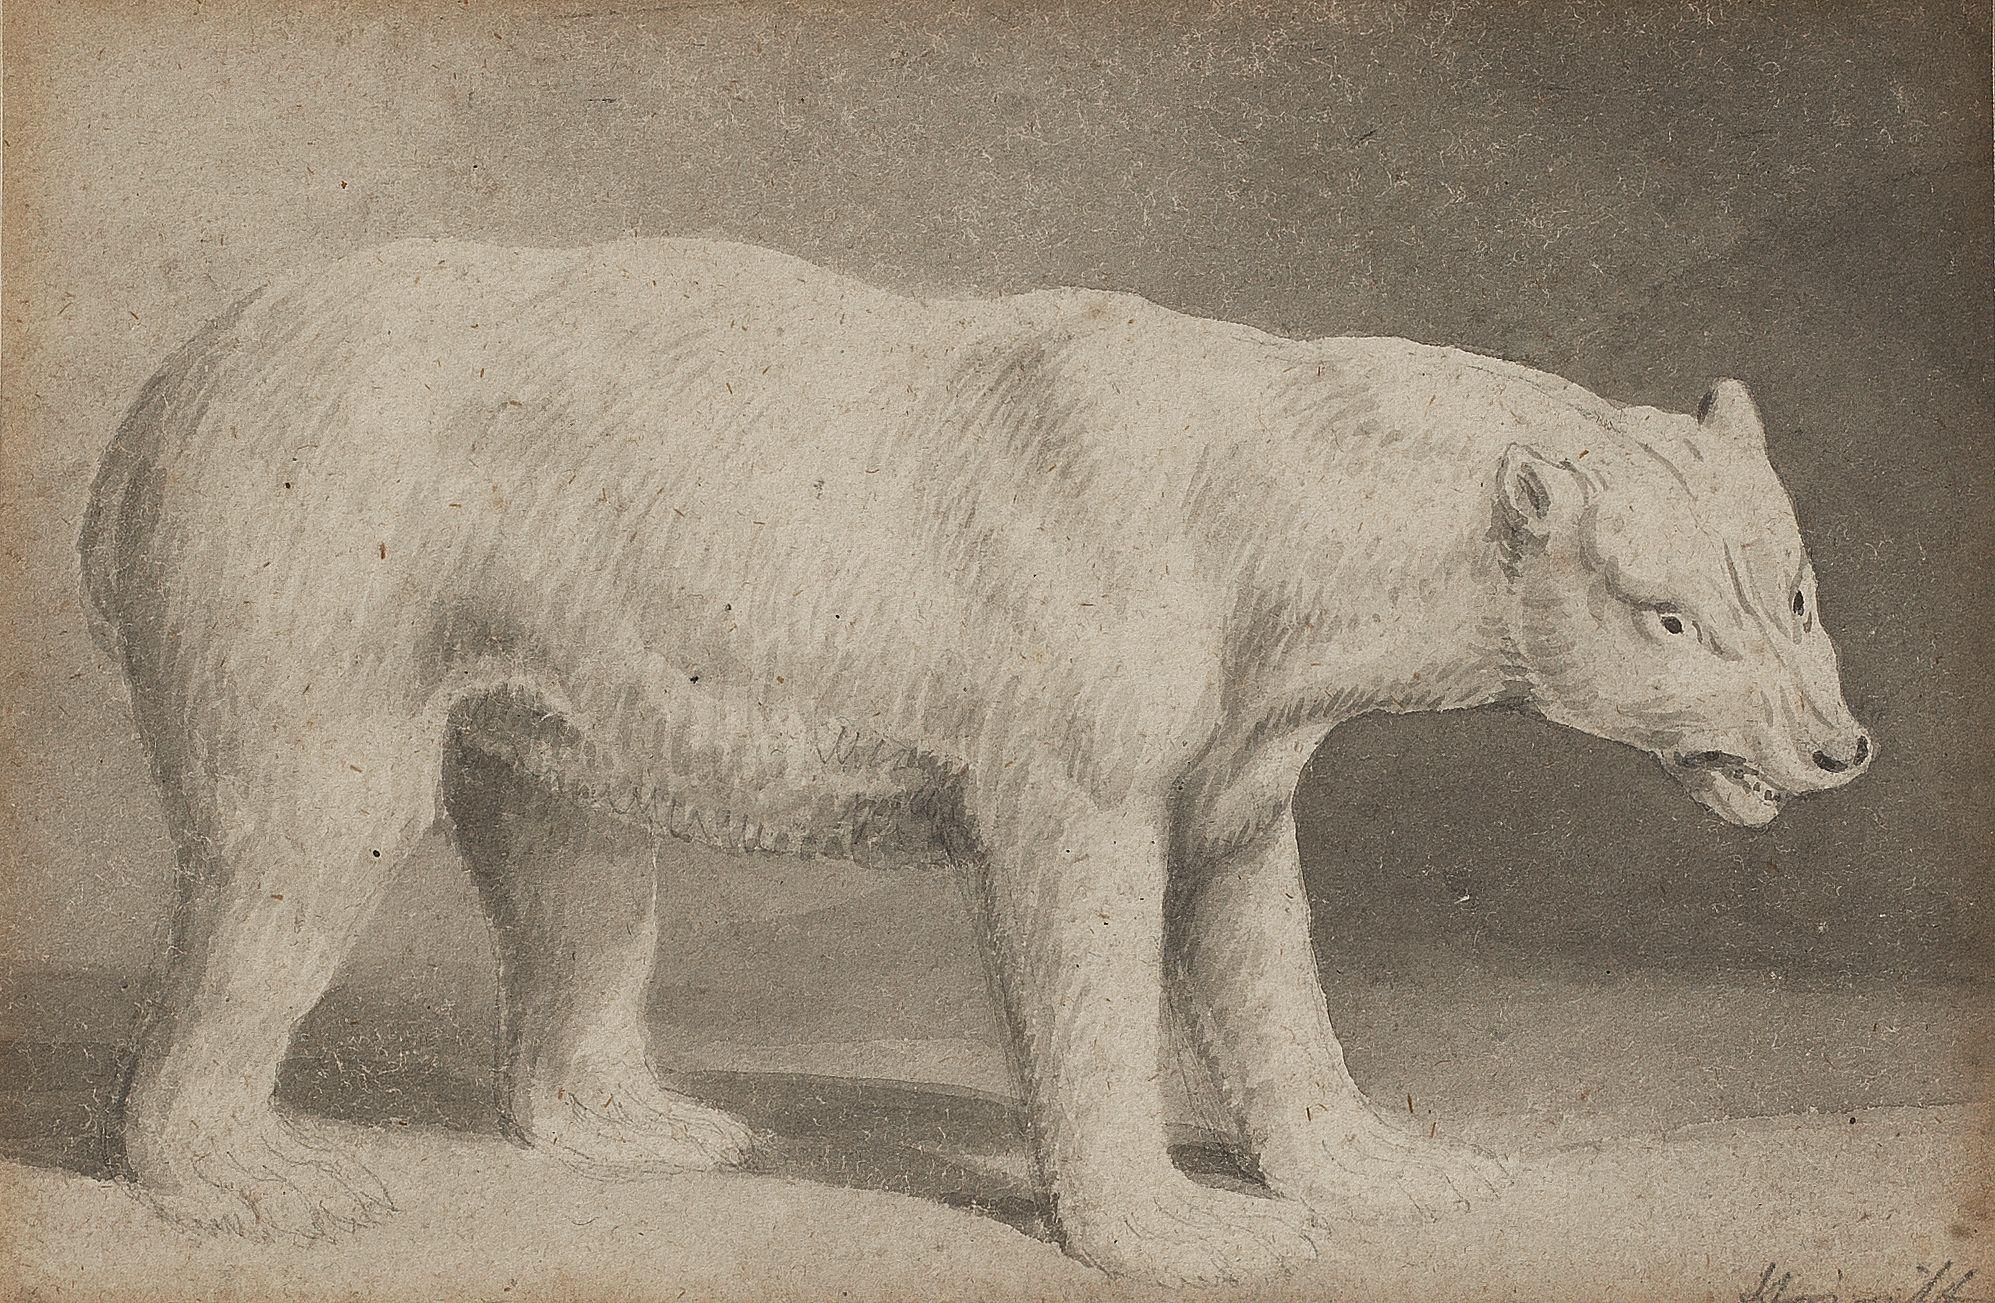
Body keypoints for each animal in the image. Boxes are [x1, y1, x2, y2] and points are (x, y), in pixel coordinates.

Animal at [79, 237, 1873, 1285]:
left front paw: (1394, 1163)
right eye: (1667, 614)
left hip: (545, 617)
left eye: (1789, 586)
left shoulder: (1247, 706)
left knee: (573, 841)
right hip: (319, 554)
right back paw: (256, 1174)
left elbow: (1252, 912)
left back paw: (644, 1119)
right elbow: (1079, 902)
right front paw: (1182, 1223)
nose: (1833, 742)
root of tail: (148, 411)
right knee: (313, 835)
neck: (1261, 479)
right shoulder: (1089, 649)